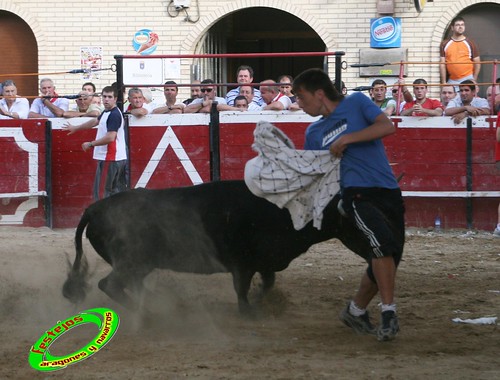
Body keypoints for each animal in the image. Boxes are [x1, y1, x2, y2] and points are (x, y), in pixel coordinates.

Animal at [62, 180, 372, 314]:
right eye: (356, 221)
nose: (374, 251)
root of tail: (94, 208)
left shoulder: (263, 263)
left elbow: (267, 284)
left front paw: (260, 302)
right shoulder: (242, 264)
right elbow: (241, 290)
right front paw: (248, 312)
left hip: (138, 265)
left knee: (131, 286)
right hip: (131, 262)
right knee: (110, 285)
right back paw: (149, 315)